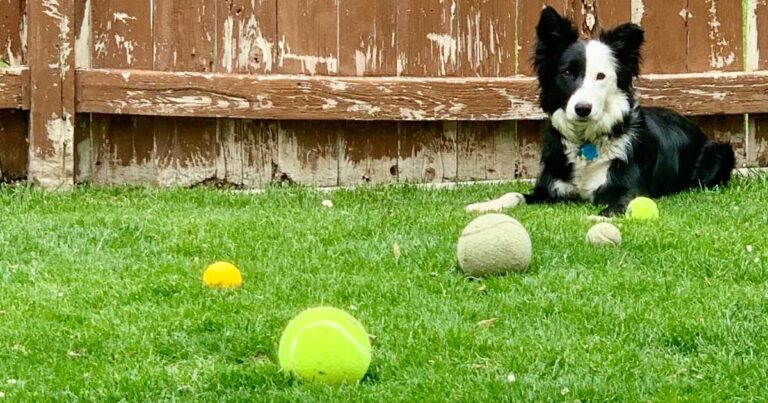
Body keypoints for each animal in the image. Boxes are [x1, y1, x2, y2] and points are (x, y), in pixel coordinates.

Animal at [464, 6, 736, 216]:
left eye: (601, 76)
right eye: (567, 72)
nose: (583, 109)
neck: (586, 142)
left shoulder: (630, 188)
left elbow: (622, 202)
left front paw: (599, 219)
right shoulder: (547, 190)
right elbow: (514, 194)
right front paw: (484, 205)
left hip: (722, 153)